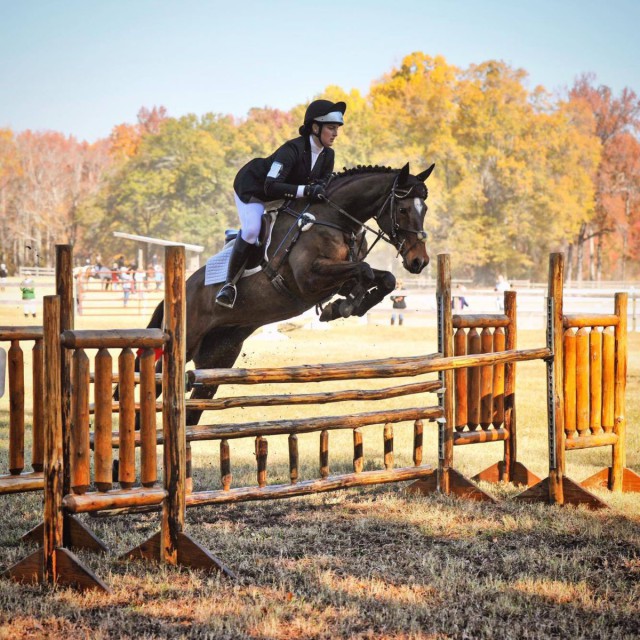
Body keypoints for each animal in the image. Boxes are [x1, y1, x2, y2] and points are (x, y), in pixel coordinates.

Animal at [144, 162, 436, 428]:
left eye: (424, 209)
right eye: (402, 209)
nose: (419, 261)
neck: (335, 218)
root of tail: (181, 289)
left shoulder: (338, 278)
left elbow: (384, 278)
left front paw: (342, 307)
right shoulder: (309, 279)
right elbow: (363, 270)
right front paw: (343, 306)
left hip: (219, 357)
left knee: (195, 407)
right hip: (186, 341)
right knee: (156, 382)